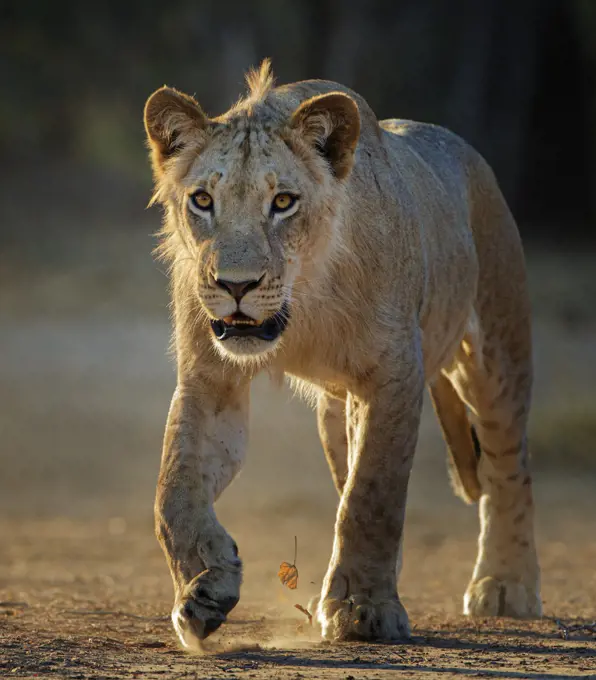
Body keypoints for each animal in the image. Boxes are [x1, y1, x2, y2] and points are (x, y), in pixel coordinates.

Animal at [143, 59, 540, 648]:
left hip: (497, 348)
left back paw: (507, 585)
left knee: (508, 464)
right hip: (336, 410)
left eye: (283, 202)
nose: (236, 285)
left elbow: (372, 494)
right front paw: (203, 592)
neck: (303, 303)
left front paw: (364, 609)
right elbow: (174, 491)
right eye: (203, 201)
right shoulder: (211, 378)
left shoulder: (395, 374)